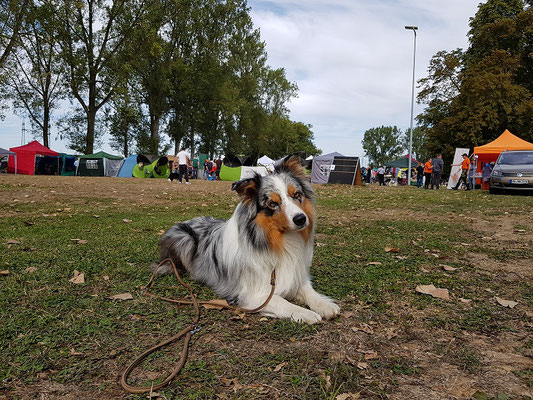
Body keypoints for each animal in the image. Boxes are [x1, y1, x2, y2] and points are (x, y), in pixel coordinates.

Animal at [157, 155, 340, 324]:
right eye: (272, 204)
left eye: (296, 194)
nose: (301, 219)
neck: (280, 240)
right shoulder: (252, 294)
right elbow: (282, 301)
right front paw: (306, 313)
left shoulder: (294, 275)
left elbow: (309, 291)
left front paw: (324, 305)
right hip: (185, 239)